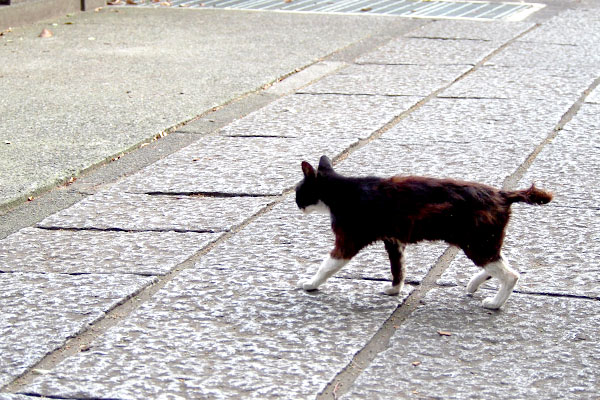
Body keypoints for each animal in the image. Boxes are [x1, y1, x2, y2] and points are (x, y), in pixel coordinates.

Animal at [296, 155, 552, 310]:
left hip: (476, 243)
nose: (296, 204)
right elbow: (398, 268)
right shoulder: (394, 241)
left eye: (298, 191)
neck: (342, 190)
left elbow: (326, 266)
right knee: (501, 263)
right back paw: (473, 285)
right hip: (482, 240)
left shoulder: (347, 241)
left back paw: (495, 303)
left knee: (510, 274)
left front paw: (310, 283)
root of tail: (503, 194)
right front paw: (394, 290)